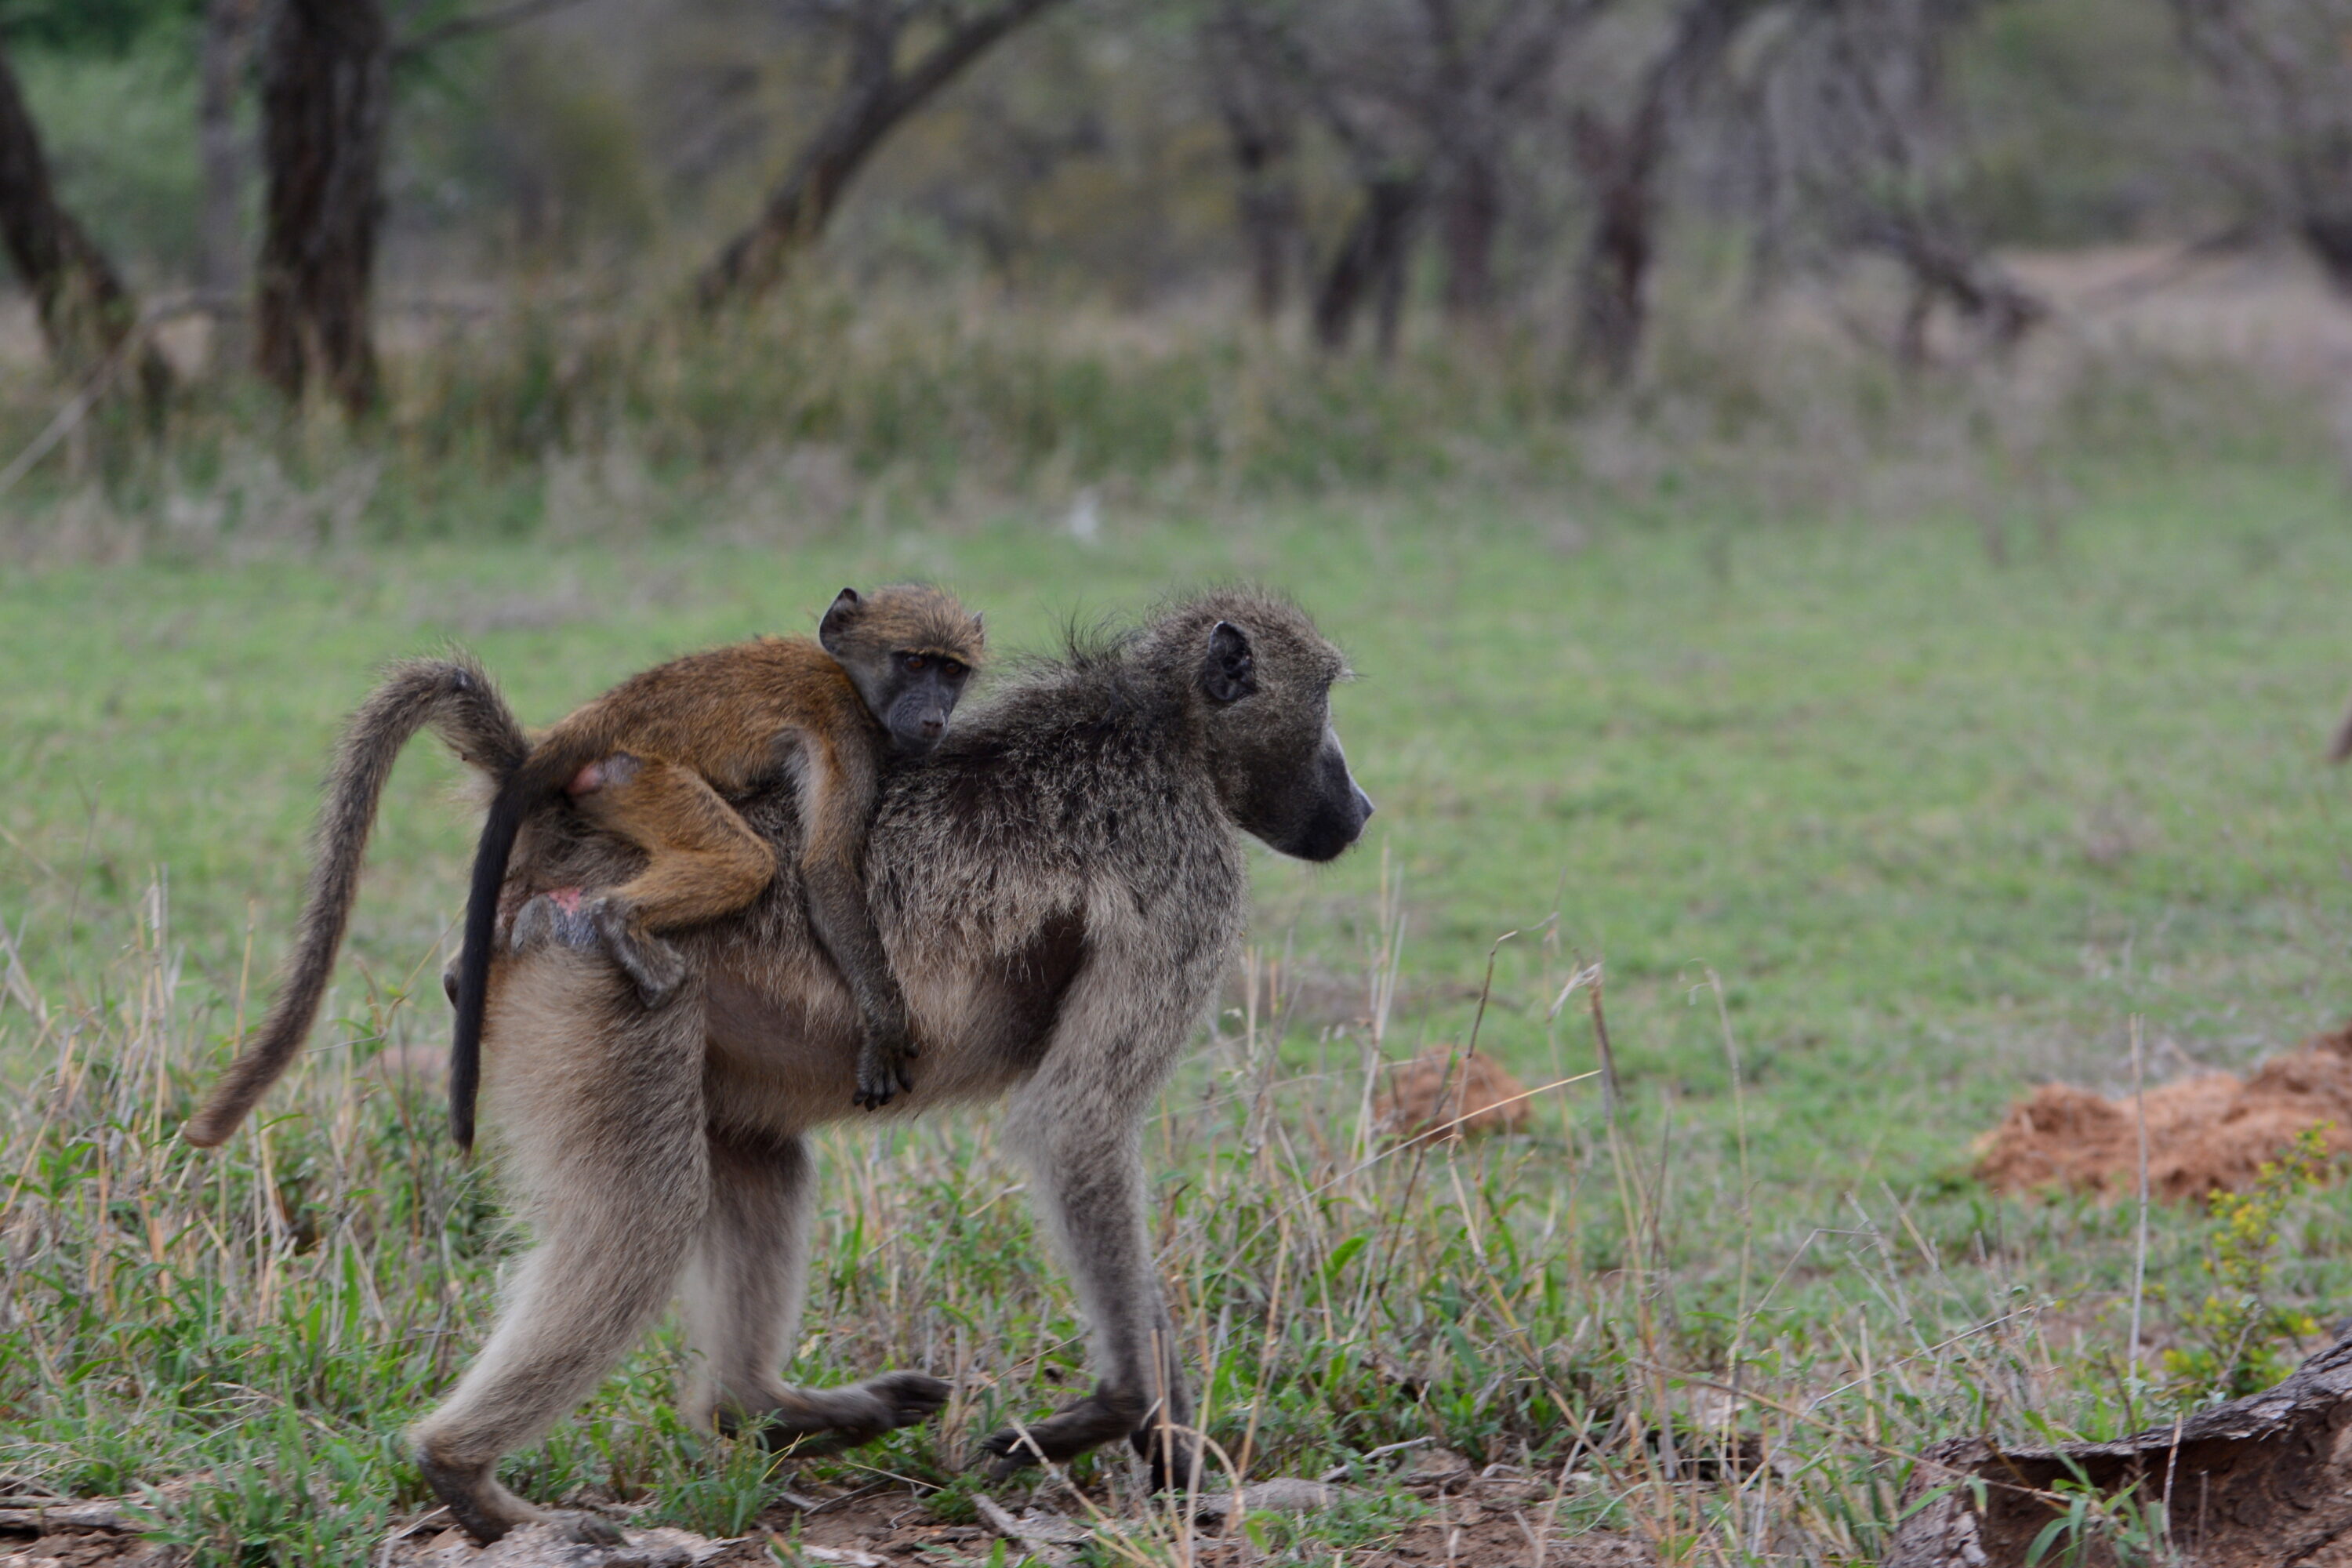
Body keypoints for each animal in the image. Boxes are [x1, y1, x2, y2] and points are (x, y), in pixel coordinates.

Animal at [445, 584, 985, 1150]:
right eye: (914, 662)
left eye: (952, 671)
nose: (934, 719)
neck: (848, 678)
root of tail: (601, 716)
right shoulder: (846, 734)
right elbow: (827, 869)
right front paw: (885, 1032)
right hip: (635, 779)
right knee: (746, 863)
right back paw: (621, 920)